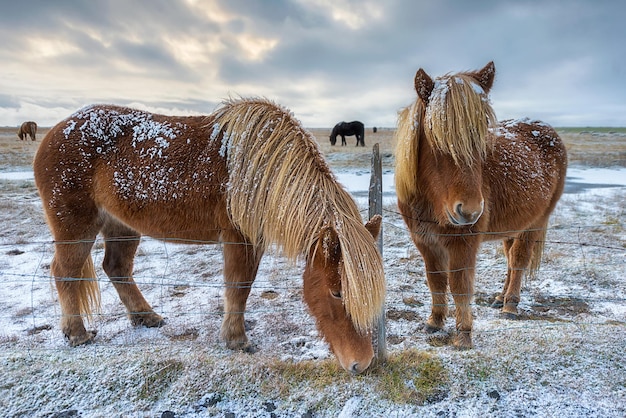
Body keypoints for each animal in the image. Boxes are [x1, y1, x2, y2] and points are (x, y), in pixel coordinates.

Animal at [35, 99, 386, 376]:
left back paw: (146, 317)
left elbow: (240, 288)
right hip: (76, 228)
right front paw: (236, 339)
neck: (261, 171)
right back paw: (77, 334)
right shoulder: (239, 239)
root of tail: (53, 133)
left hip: (121, 226)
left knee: (116, 268)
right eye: (337, 293)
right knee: (65, 272)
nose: (362, 363)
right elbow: (238, 287)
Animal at [394, 62, 564, 350]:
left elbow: (459, 285)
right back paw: (499, 298)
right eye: (434, 136)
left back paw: (510, 306)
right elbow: (435, 280)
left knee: (519, 260)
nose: (470, 211)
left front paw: (463, 334)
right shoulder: (425, 241)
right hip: (513, 225)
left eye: (484, 135)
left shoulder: (463, 243)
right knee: (510, 259)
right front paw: (434, 321)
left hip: (535, 222)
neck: (431, 200)